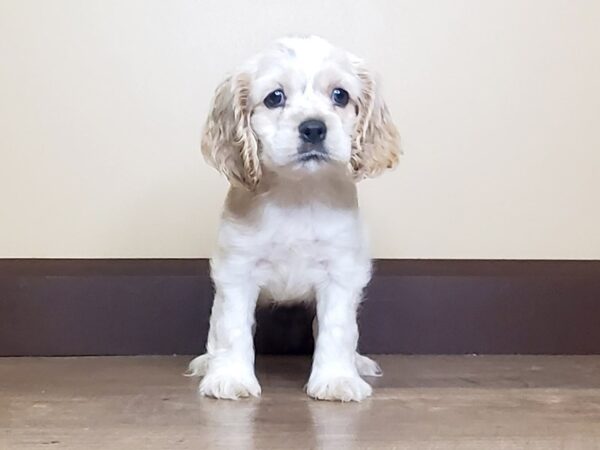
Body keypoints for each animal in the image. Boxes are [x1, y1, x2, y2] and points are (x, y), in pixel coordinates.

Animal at [188, 35, 400, 400]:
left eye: (340, 95)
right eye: (275, 97)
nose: (313, 128)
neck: (297, 194)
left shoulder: (341, 271)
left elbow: (337, 329)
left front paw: (336, 378)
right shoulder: (237, 269)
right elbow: (231, 328)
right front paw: (230, 376)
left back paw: (357, 363)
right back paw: (207, 362)